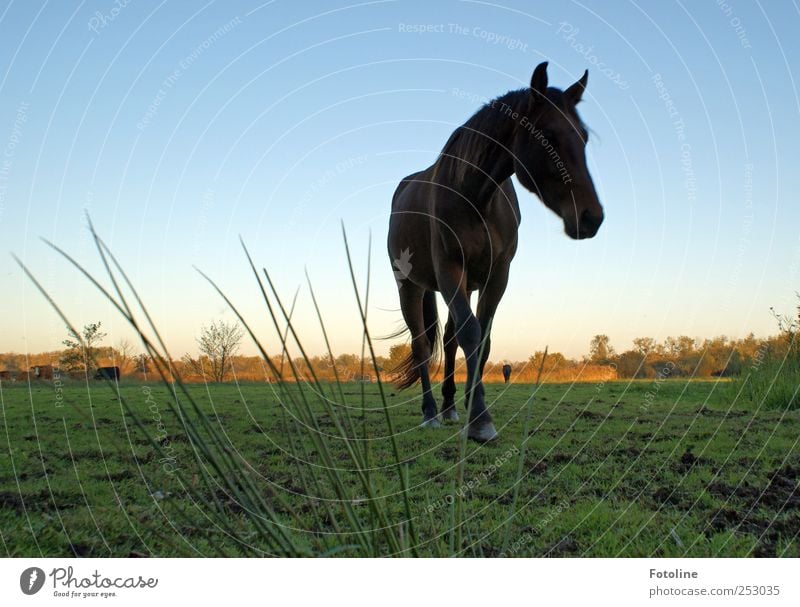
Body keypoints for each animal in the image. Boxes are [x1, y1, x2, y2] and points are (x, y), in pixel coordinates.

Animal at [390, 61, 608, 442]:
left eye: (583, 136)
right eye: (547, 135)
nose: (591, 217)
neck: (477, 198)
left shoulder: (496, 275)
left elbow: (483, 340)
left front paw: (472, 407)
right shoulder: (451, 270)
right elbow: (471, 334)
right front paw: (480, 420)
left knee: (448, 341)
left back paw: (449, 408)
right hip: (410, 286)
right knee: (421, 345)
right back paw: (431, 412)